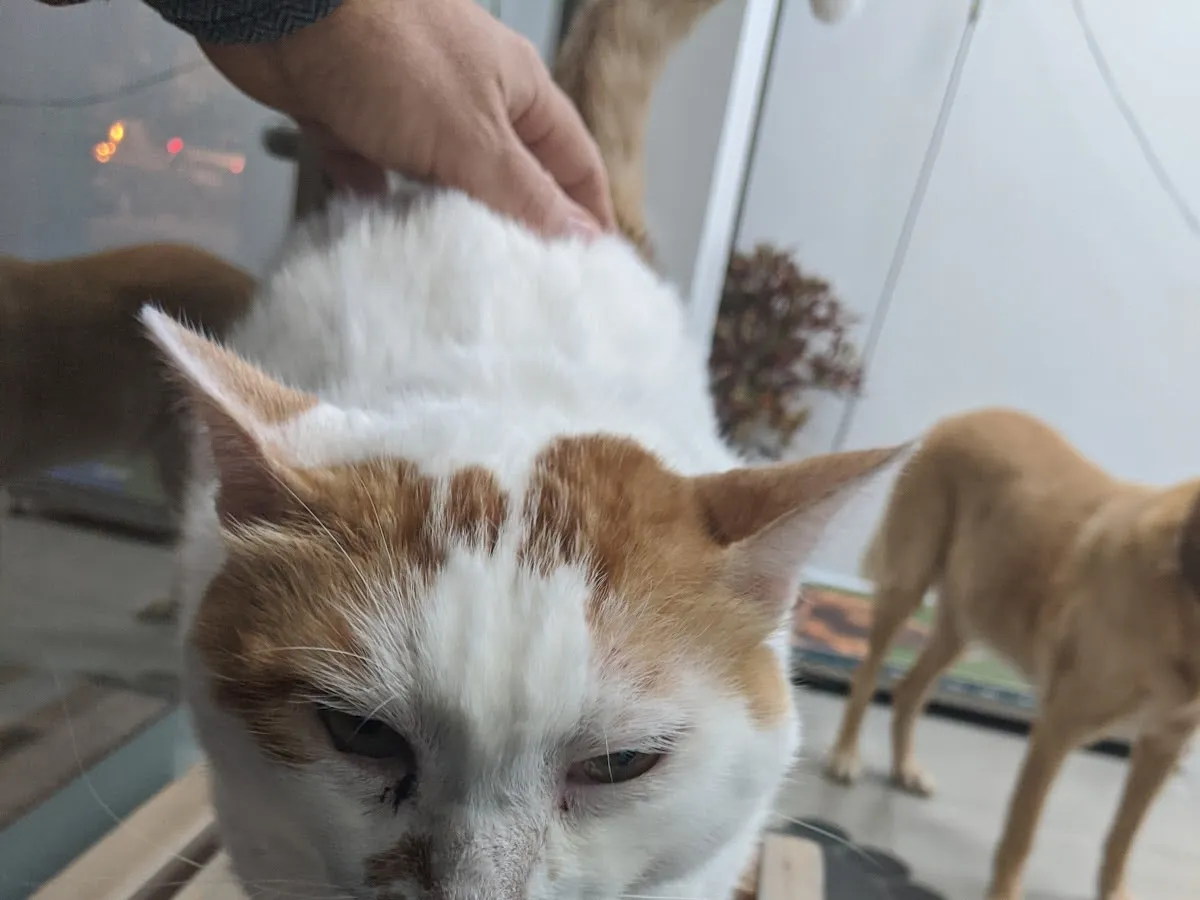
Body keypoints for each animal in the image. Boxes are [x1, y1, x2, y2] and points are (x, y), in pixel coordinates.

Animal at [823, 407, 1200, 900]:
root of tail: (963, 415)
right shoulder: (1057, 730)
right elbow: (1022, 836)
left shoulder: (1162, 746)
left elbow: (1120, 843)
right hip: (907, 583)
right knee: (867, 676)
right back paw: (845, 754)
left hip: (968, 621)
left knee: (908, 691)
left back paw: (905, 768)